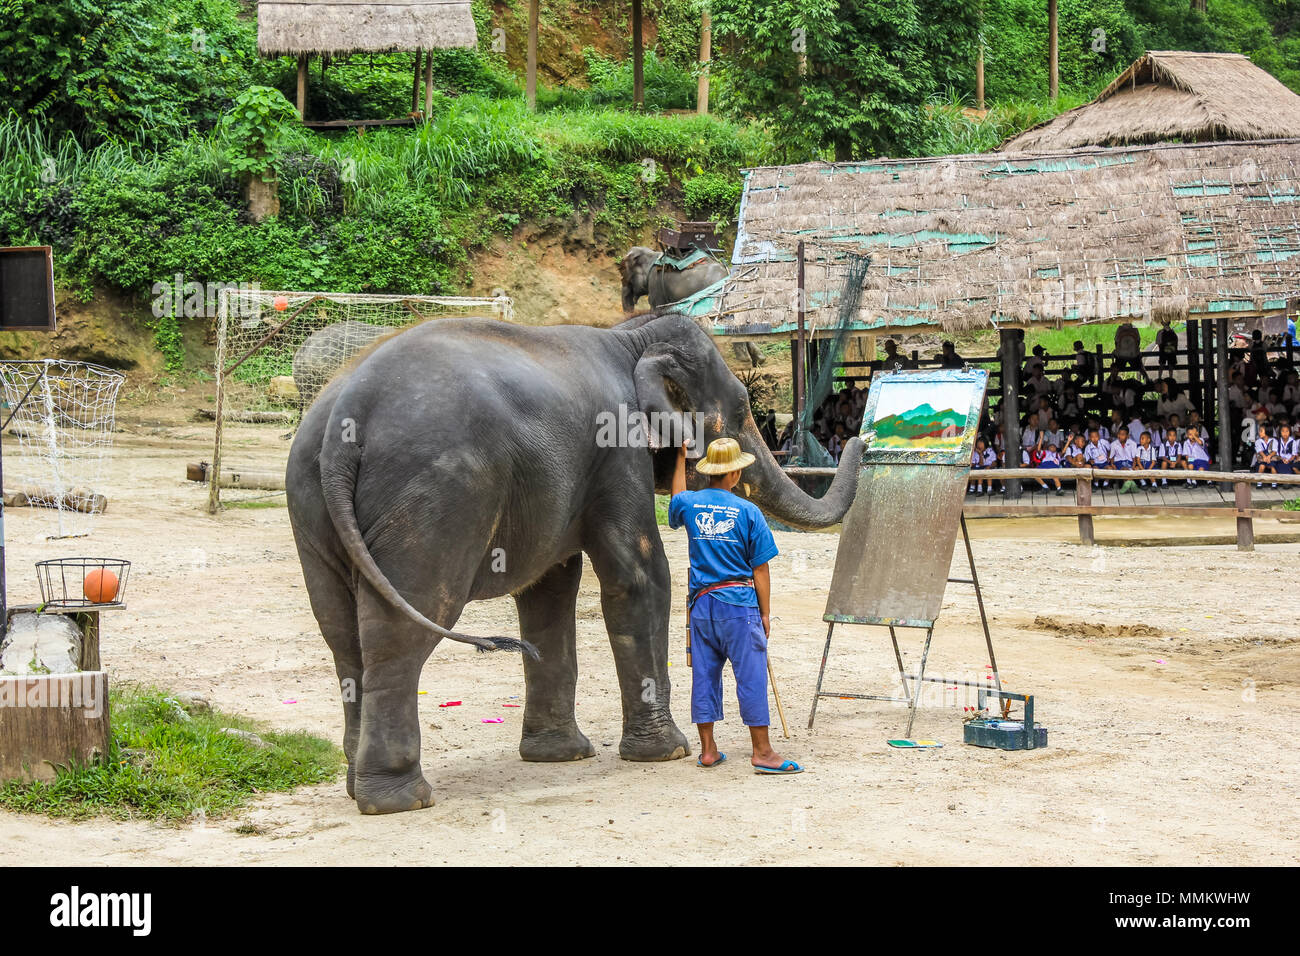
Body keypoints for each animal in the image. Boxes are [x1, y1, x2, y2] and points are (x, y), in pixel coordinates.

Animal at [285, 309, 864, 814]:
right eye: (742, 411)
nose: (859, 435)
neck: (629, 336)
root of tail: (346, 412)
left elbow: (551, 590)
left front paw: (560, 756)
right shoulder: (616, 448)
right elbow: (639, 576)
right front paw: (668, 752)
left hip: (311, 505)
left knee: (343, 637)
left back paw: (359, 788)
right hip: (431, 498)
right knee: (402, 631)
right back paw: (400, 800)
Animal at [619, 246, 763, 368]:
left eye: (624, 274)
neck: (653, 255)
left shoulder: (656, 285)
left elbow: (657, 311)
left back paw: (744, 363)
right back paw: (758, 360)